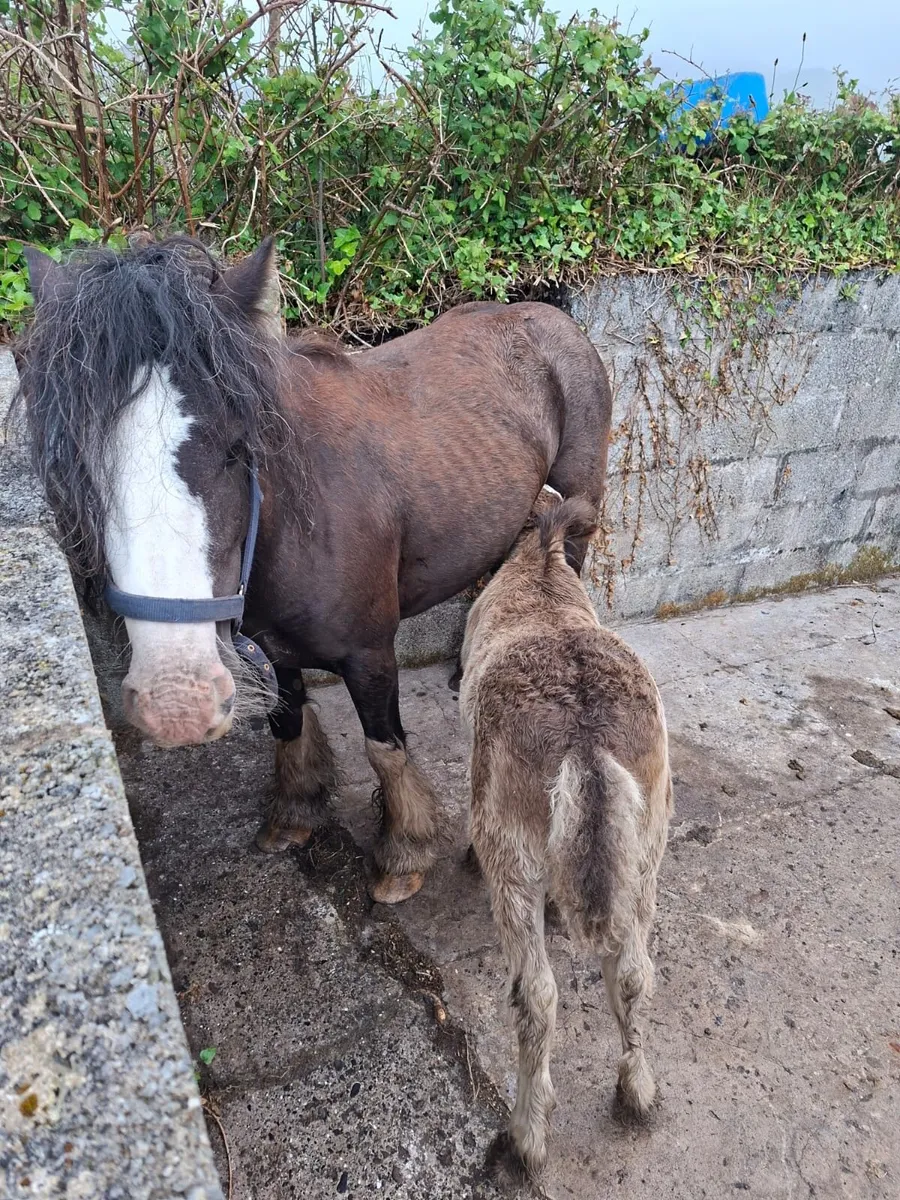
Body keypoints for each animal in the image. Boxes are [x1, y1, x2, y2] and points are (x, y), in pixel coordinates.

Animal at [17, 235, 612, 904]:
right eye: (81, 465)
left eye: (238, 449)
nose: (178, 704)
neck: (296, 522)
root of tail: (549, 315)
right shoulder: (269, 645)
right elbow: (287, 720)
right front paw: (295, 812)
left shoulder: (370, 653)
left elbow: (385, 748)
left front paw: (402, 853)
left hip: (578, 499)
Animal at [459, 494, 672, 1181]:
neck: (541, 570)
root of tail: (586, 745)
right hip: (645, 846)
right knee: (632, 972)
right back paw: (636, 1091)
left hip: (512, 860)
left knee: (536, 994)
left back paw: (526, 1134)